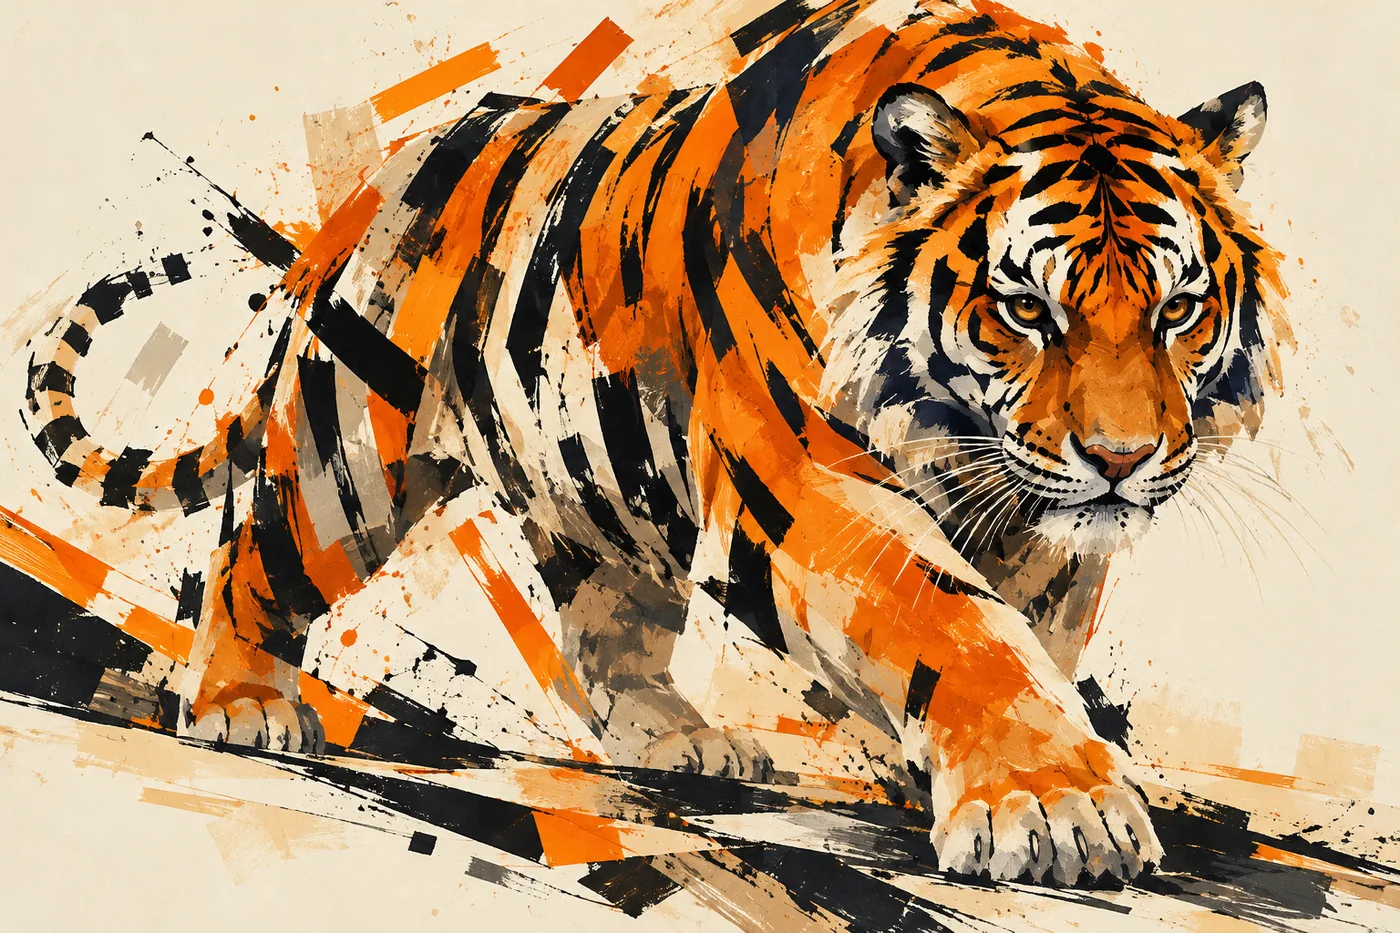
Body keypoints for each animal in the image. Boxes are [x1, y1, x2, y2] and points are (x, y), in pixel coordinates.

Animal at [22, 0, 1286, 886]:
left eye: (1179, 308)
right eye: (1027, 310)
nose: (1122, 458)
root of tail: (382, 176)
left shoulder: (1044, 532)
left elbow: (1026, 636)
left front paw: (937, 774)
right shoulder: (809, 482)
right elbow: (952, 623)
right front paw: (1055, 809)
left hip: (594, 482)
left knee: (604, 624)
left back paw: (675, 740)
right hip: (347, 448)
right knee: (255, 552)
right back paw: (242, 707)